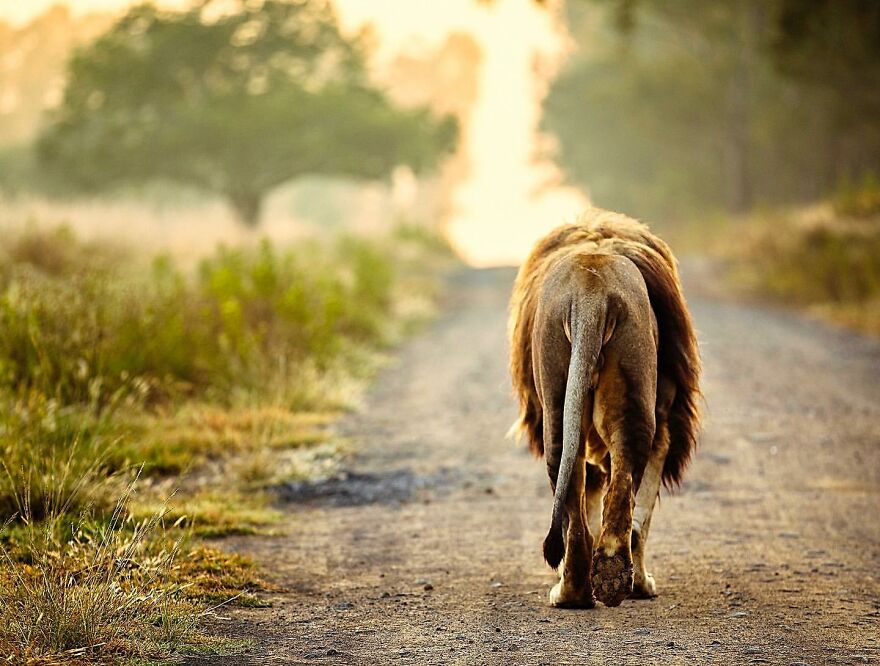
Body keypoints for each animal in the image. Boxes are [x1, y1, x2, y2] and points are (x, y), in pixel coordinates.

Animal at [508, 207, 701, 608]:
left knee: (579, 500)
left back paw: (580, 589)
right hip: (629, 398)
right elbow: (639, 512)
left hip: (559, 395)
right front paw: (642, 584)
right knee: (619, 493)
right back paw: (610, 578)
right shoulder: (665, 418)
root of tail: (591, 293)